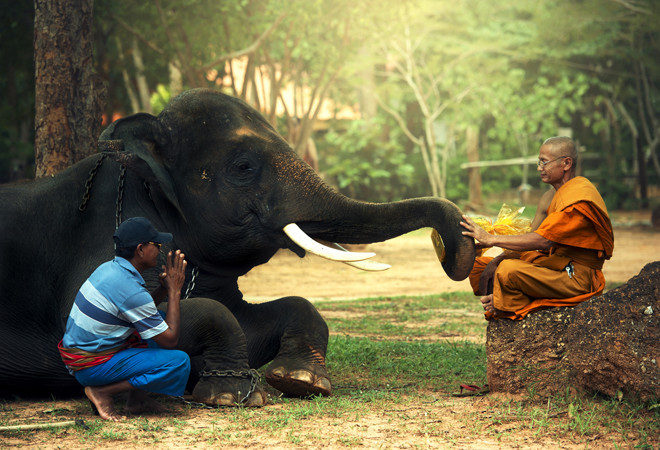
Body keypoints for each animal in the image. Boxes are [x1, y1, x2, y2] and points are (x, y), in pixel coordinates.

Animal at [0, 89, 474, 406]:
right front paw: (228, 395)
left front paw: (301, 381)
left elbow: (269, 312)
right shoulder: (99, 248)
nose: (456, 248)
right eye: (244, 166)